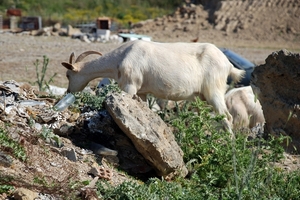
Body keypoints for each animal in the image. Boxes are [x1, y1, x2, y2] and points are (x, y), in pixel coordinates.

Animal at [62, 40, 245, 131]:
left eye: (68, 75)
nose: (69, 91)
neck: (121, 57)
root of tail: (228, 64)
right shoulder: (141, 92)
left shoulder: (130, 86)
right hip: (202, 97)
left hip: (214, 91)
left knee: (227, 117)